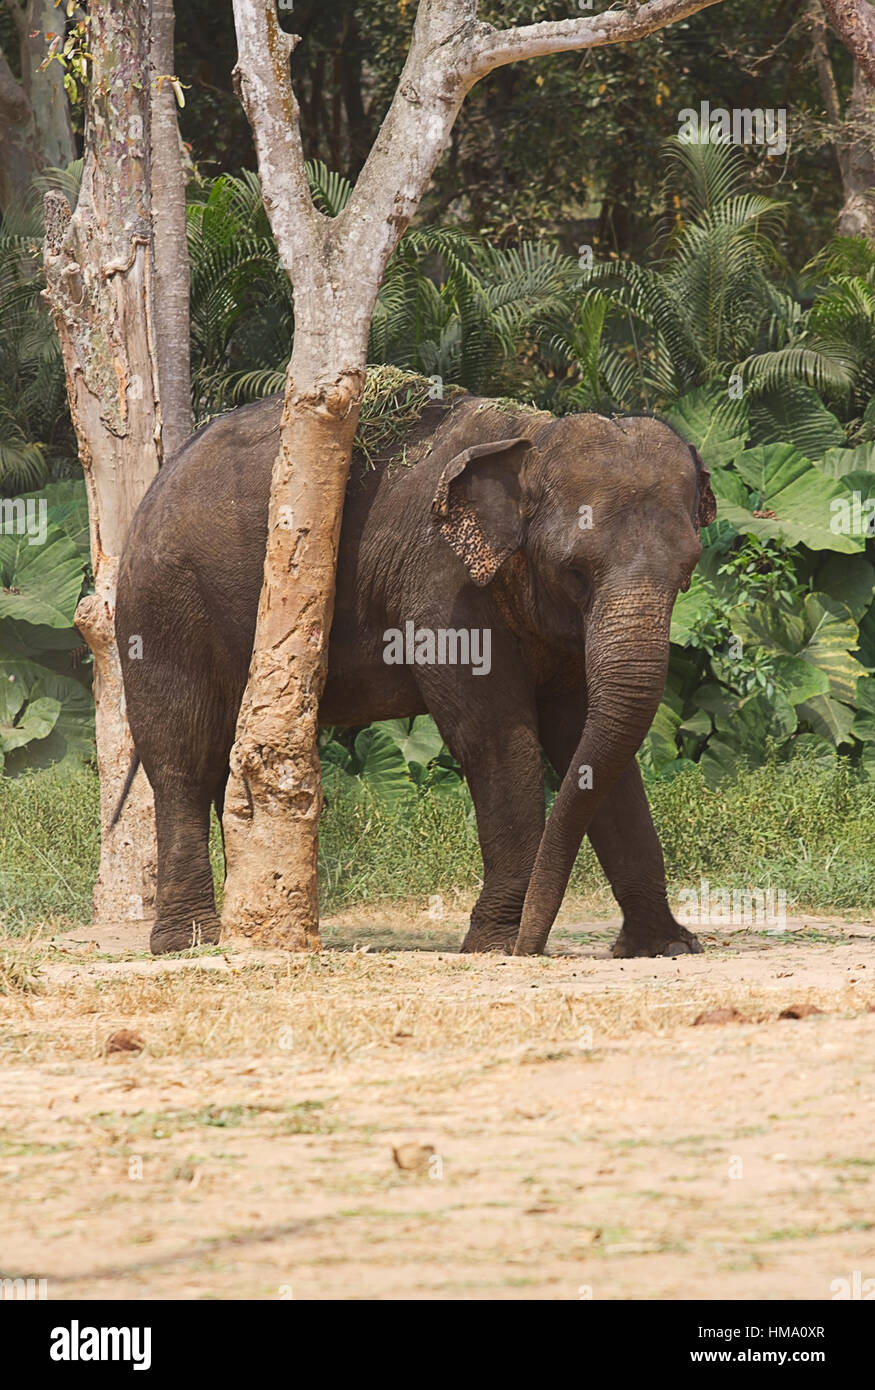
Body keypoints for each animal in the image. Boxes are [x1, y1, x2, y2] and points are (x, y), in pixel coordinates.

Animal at [112, 391, 712, 956]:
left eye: (688, 571)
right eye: (576, 571)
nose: (533, 943)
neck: (530, 437)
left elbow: (587, 744)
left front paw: (666, 946)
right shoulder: (441, 586)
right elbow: (495, 738)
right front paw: (496, 944)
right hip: (163, 605)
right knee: (183, 760)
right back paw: (189, 941)